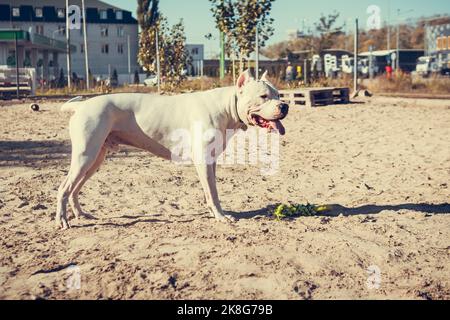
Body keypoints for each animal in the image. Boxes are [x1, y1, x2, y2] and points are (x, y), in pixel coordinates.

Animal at [56, 71, 288, 229]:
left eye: (278, 94)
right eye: (263, 96)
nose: (285, 105)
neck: (226, 106)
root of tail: (81, 106)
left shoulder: (210, 161)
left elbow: (210, 190)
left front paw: (213, 212)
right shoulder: (203, 160)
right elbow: (213, 192)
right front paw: (221, 217)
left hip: (95, 159)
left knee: (75, 189)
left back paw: (81, 215)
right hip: (85, 156)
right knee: (64, 188)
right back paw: (62, 221)